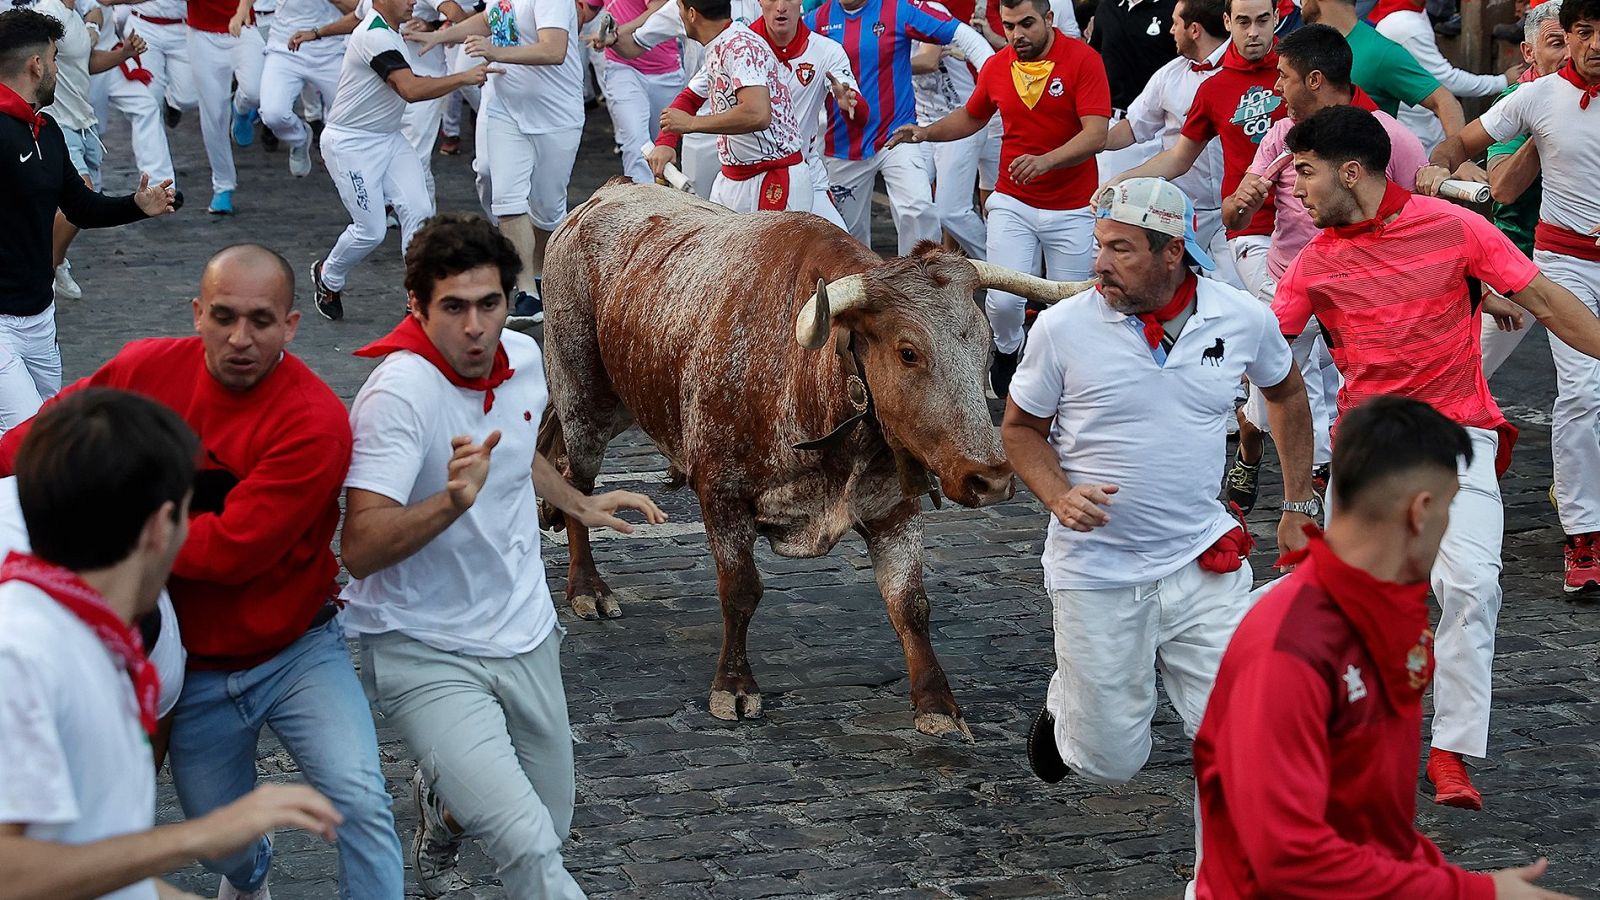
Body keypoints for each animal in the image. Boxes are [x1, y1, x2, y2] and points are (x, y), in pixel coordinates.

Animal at [544, 182, 1094, 736]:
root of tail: (602, 197)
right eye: (908, 352)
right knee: (578, 478)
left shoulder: (893, 509)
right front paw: (734, 685)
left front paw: (937, 703)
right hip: (584, 397)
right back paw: (587, 587)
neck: (807, 380)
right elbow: (740, 590)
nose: (991, 479)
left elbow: (910, 602)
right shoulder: (721, 494)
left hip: (622, 402)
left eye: (983, 347)